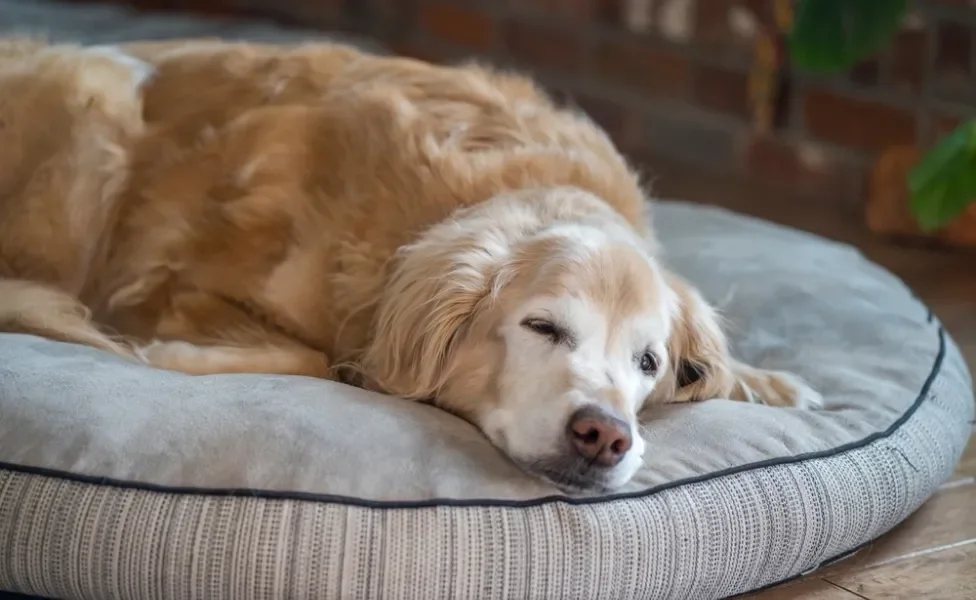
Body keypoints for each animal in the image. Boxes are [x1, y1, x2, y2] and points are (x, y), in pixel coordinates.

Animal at [0, 37, 824, 490]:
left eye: (648, 362)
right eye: (542, 327)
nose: (606, 435)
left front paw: (772, 382)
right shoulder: (179, 279)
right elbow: (304, 357)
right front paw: (160, 353)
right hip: (102, 92)